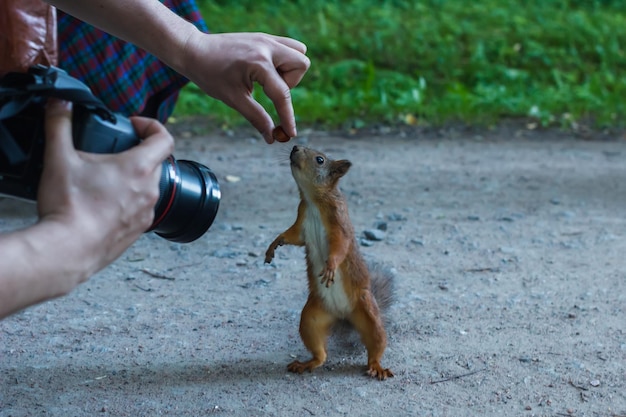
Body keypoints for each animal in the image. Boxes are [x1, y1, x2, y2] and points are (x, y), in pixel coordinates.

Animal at [264, 145, 392, 378]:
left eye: (320, 160)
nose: (294, 147)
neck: (313, 200)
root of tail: (343, 316)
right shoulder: (301, 223)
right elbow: (291, 236)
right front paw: (274, 244)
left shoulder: (339, 222)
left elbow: (340, 246)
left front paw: (330, 266)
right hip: (311, 318)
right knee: (319, 352)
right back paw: (306, 363)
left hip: (368, 312)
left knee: (376, 343)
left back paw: (377, 366)